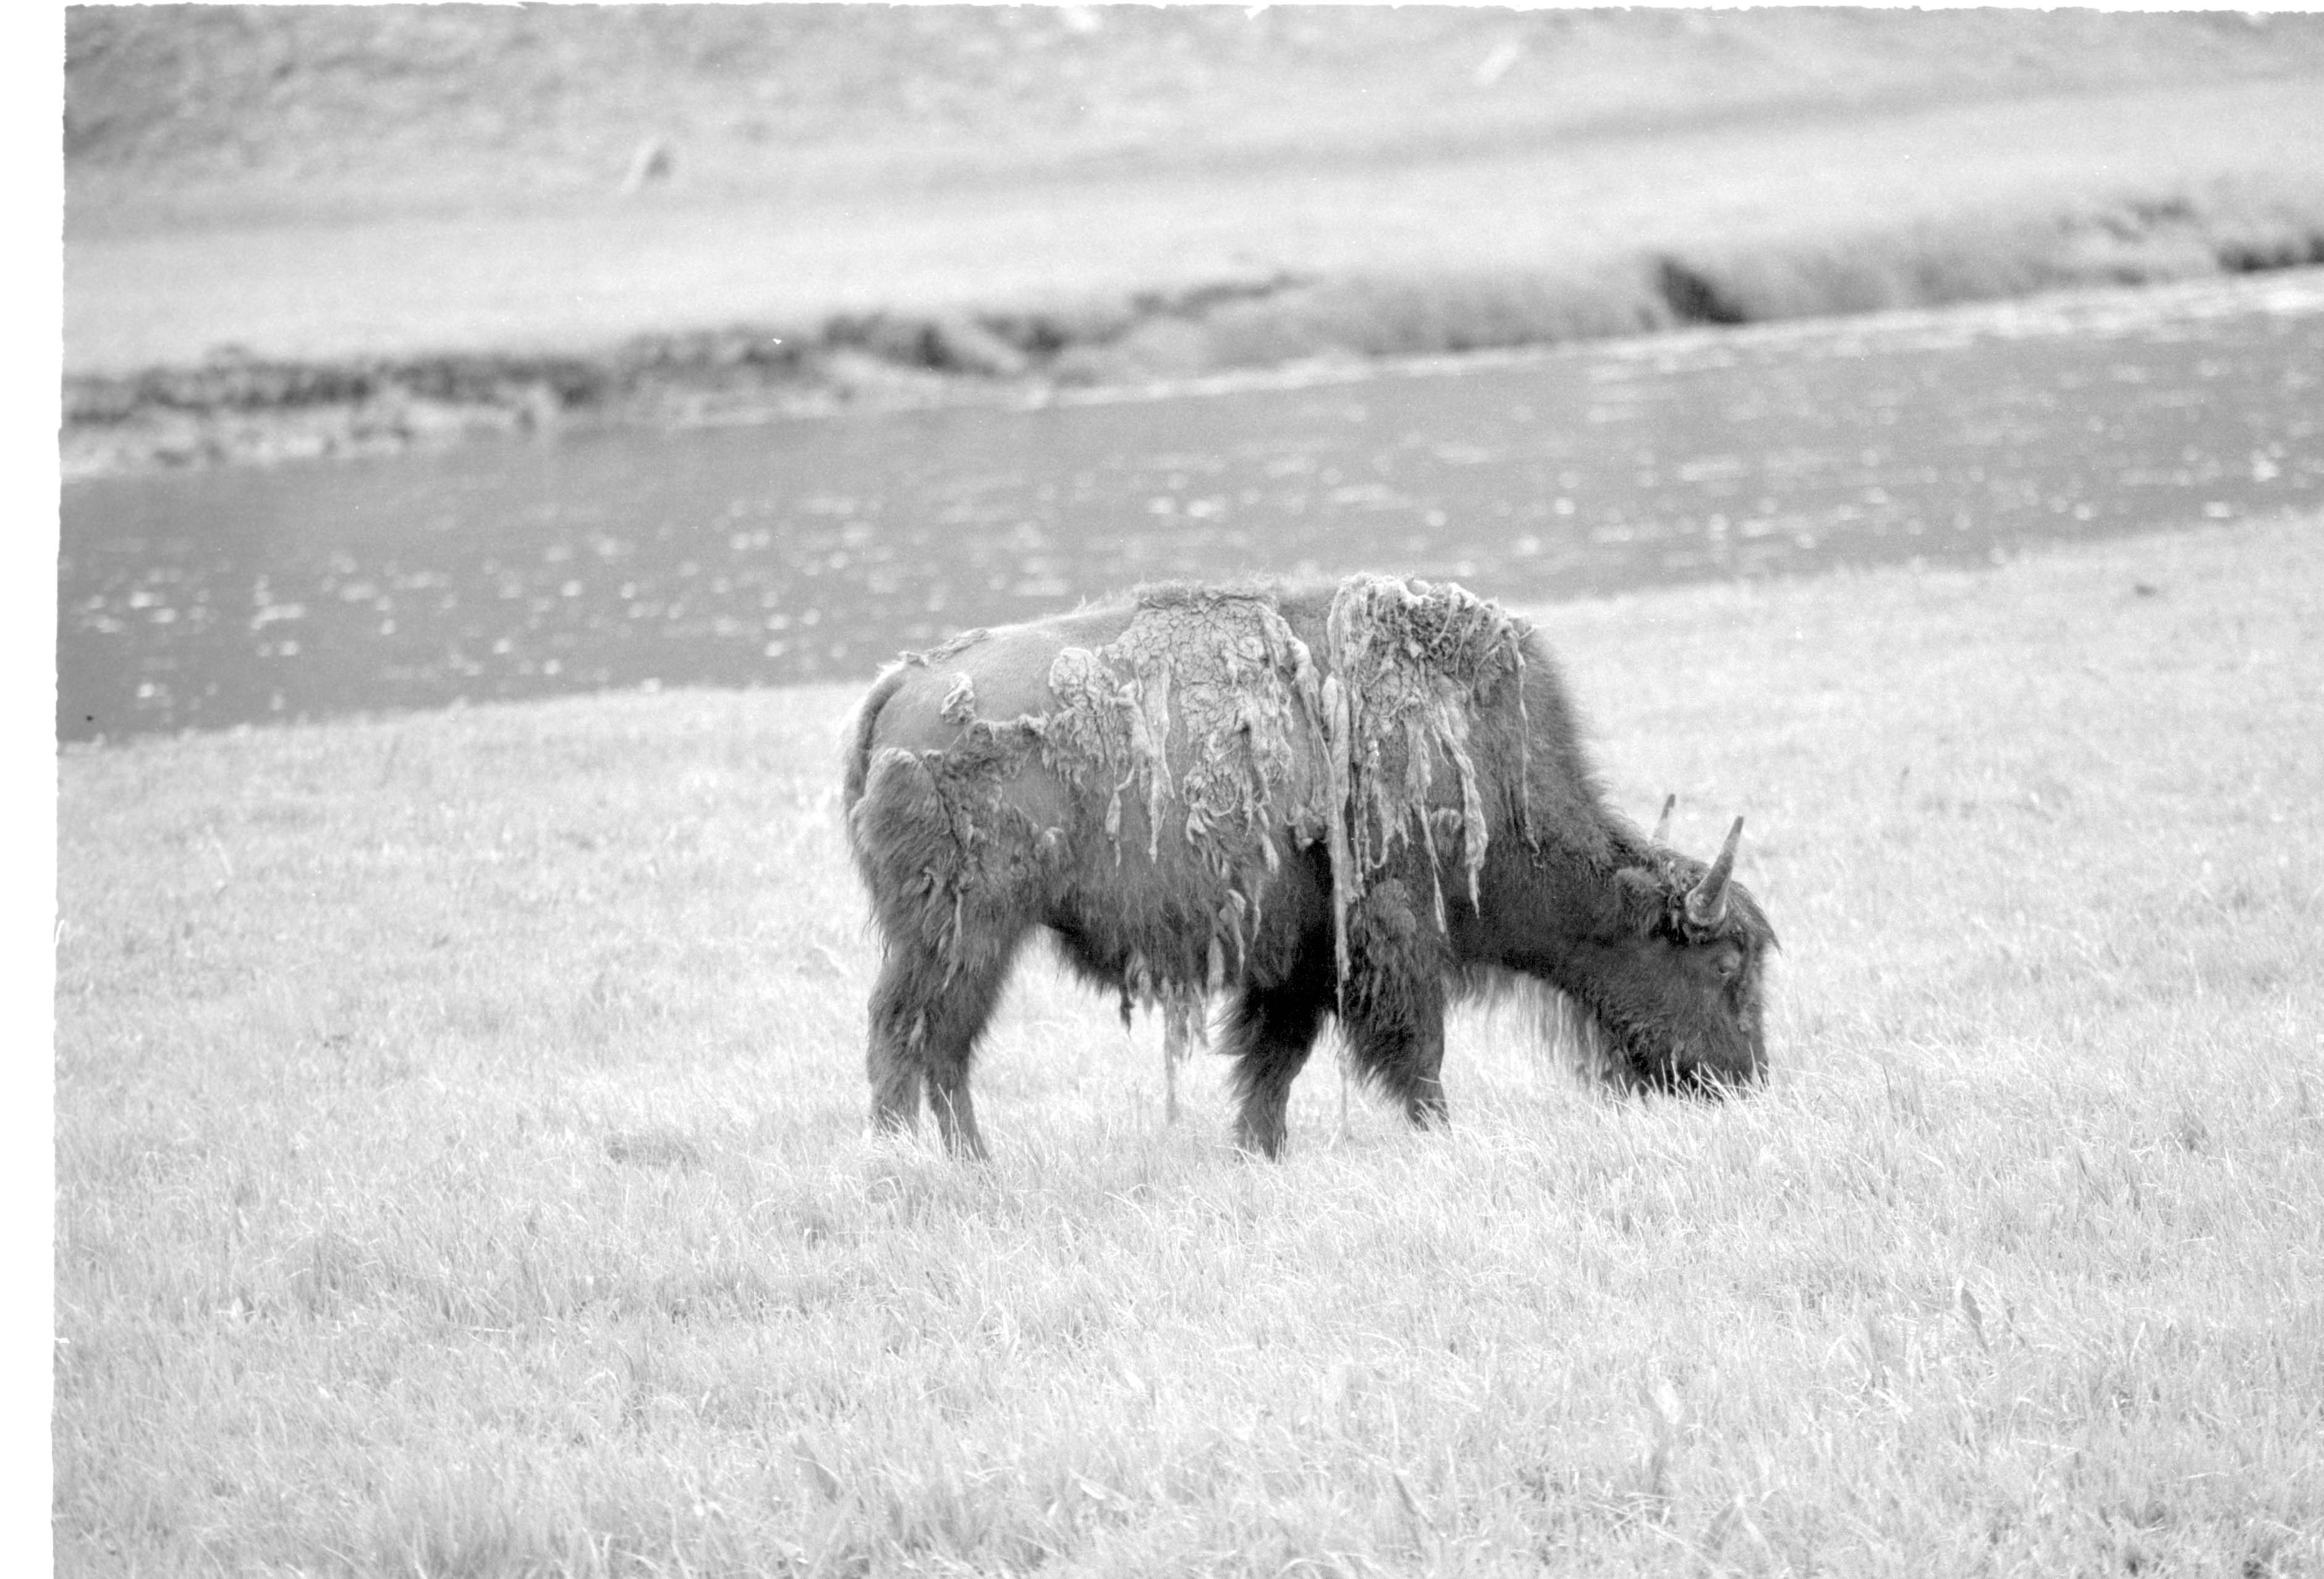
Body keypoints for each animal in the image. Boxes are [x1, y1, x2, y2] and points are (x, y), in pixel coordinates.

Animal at [843, 575, 1774, 1158]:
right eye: (1726, 964)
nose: (1748, 1080)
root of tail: (901, 687)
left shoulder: (1298, 959)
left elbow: (1272, 1064)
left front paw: (1260, 1150)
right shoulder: (1392, 938)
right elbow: (1417, 1050)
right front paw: (1441, 1135)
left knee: (931, 1045)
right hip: (968, 931)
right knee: (919, 1037)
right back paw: (934, 1163)